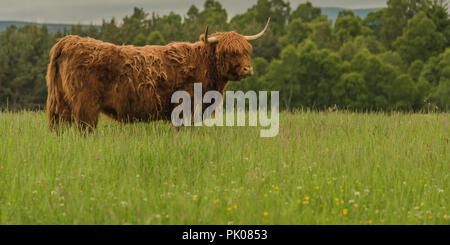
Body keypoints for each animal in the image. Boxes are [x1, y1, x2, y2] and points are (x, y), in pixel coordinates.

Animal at [46, 18, 270, 131]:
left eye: (247, 50)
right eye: (229, 52)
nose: (247, 69)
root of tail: (69, 40)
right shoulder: (185, 108)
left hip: (61, 103)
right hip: (86, 106)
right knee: (84, 130)